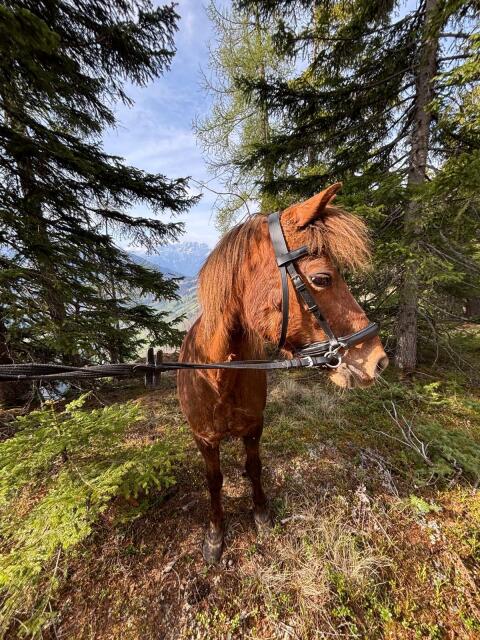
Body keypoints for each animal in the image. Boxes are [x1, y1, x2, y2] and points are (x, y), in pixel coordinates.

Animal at [177, 183, 388, 563]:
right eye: (322, 278)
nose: (377, 360)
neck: (219, 377)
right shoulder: (205, 440)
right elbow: (214, 481)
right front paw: (215, 534)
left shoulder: (254, 428)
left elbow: (254, 468)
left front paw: (261, 514)